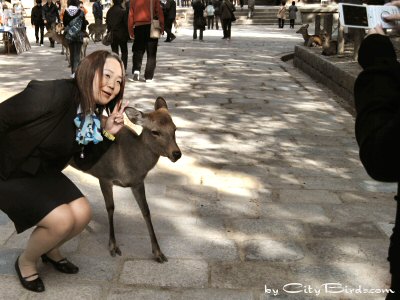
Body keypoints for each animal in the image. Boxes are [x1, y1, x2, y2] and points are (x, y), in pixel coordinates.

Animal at [69, 96, 180, 262]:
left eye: (174, 128)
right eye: (155, 131)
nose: (176, 154)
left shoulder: (138, 182)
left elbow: (146, 211)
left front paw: (158, 253)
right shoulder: (104, 176)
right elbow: (110, 208)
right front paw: (113, 247)